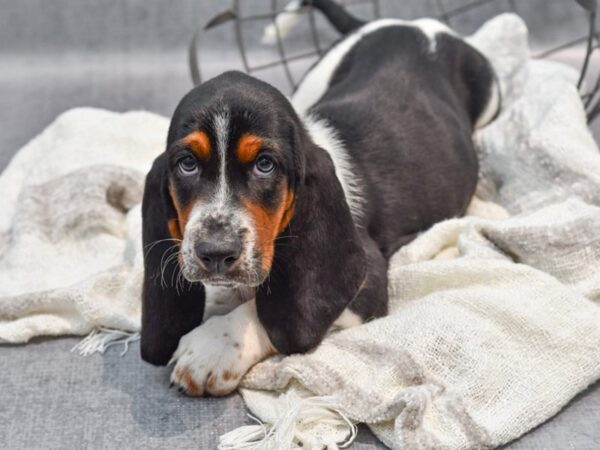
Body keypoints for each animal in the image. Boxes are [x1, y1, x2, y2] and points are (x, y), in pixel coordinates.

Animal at [139, 1, 496, 398]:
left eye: (265, 164)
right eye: (186, 164)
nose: (215, 253)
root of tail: (416, 24)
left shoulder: (367, 279)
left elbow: (271, 309)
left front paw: (215, 346)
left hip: (490, 92)